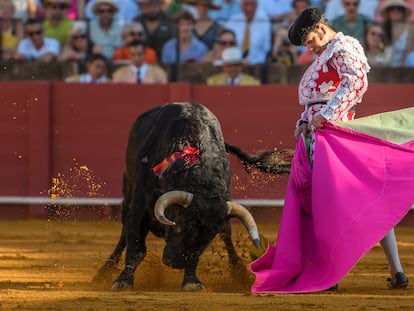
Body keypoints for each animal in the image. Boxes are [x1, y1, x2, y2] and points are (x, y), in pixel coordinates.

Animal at [92, 102, 292, 292]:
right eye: (180, 225)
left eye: (209, 237)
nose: (175, 263)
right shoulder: (140, 204)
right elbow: (136, 247)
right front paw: (123, 281)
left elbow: (197, 253)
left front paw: (191, 282)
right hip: (127, 194)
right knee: (124, 232)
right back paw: (104, 271)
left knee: (227, 235)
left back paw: (240, 273)